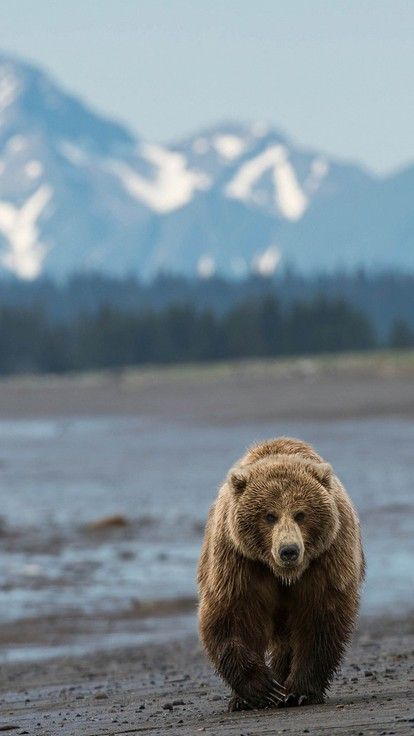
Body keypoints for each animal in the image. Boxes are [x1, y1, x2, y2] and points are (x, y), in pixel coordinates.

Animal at [199, 436, 364, 708]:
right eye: (269, 515)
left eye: (301, 514)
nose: (289, 550)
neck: (283, 574)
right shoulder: (239, 561)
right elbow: (233, 614)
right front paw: (263, 690)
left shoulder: (326, 559)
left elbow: (319, 617)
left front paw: (299, 691)